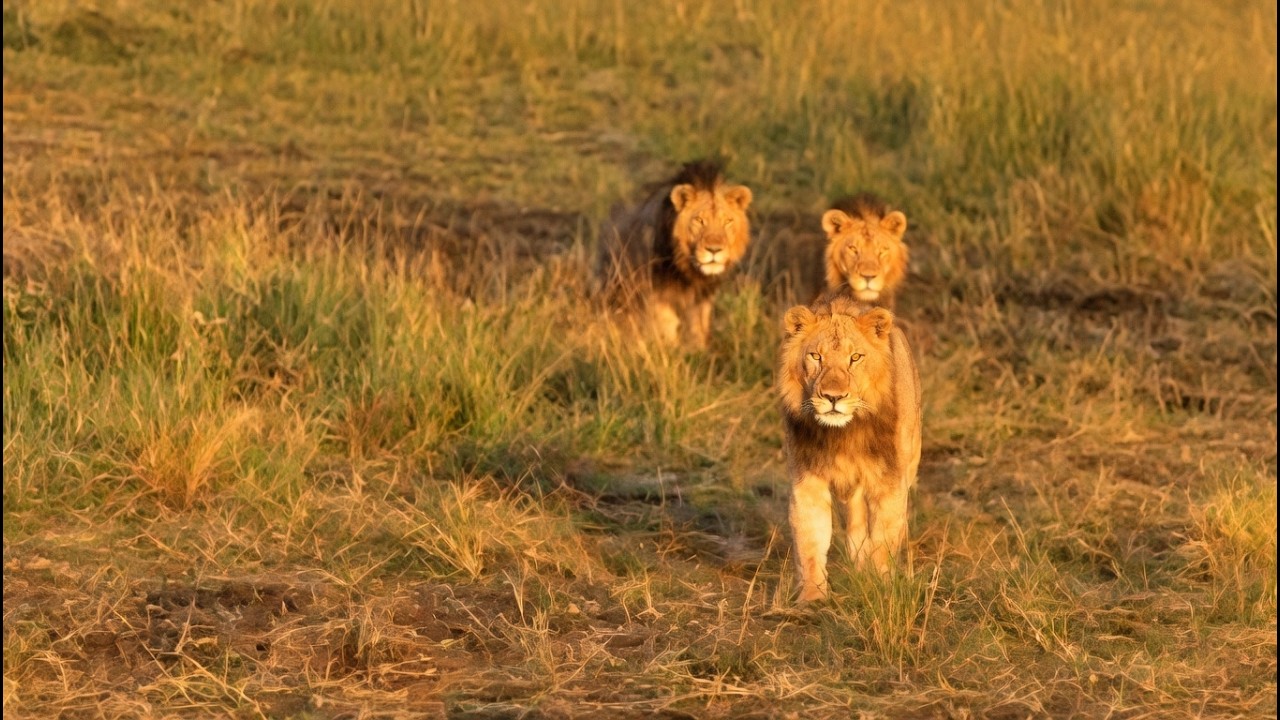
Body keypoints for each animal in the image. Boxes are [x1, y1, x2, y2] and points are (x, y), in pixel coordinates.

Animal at [596, 160, 753, 350]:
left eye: (727, 221)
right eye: (699, 220)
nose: (714, 250)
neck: (688, 269)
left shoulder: (702, 296)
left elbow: (699, 326)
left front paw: (699, 350)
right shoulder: (656, 292)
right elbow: (667, 325)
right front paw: (669, 350)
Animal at [776, 295, 922, 602]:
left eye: (855, 358)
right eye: (815, 356)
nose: (833, 397)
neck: (843, 434)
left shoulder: (889, 482)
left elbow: (883, 541)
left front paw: (881, 589)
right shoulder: (807, 478)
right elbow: (811, 539)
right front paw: (812, 598)